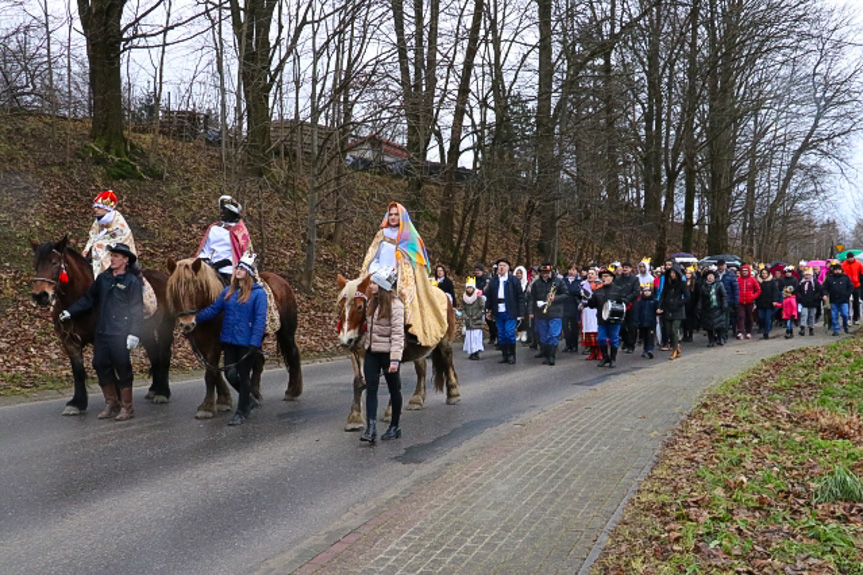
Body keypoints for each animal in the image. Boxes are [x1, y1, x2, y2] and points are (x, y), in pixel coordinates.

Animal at [31, 236, 175, 416]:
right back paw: (154, 389)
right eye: (35, 265)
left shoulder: (105, 338)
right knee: (154, 354)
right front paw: (77, 403)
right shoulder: (69, 341)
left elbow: (110, 368)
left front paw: (118, 402)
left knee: (164, 355)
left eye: (55, 262)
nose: (40, 296)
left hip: (165, 327)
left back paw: (163, 392)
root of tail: (164, 276)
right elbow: (78, 371)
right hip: (145, 332)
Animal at [167, 260, 306, 418]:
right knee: (259, 362)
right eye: (174, 290)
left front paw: (207, 407)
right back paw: (255, 393)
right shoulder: (200, 346)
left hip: (286, 332)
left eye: (196, 288)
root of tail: (282, 281)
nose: (187, 323)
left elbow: (211, 374)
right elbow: (214, 372)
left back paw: (292, 391)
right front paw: (224, 400)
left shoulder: (214, 345)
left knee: (292, 353)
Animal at [336, 274, 460, 432]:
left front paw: (390, 413)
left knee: (447, 361)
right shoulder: (356, 351)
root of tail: (444, 295)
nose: (345, 340)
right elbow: (358, 382)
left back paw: (453, 394)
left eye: (359, 306)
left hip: (445, 342)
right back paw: (416, 399)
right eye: (340, 306)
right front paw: (355, 419)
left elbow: (393, 380)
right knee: (421, 368)